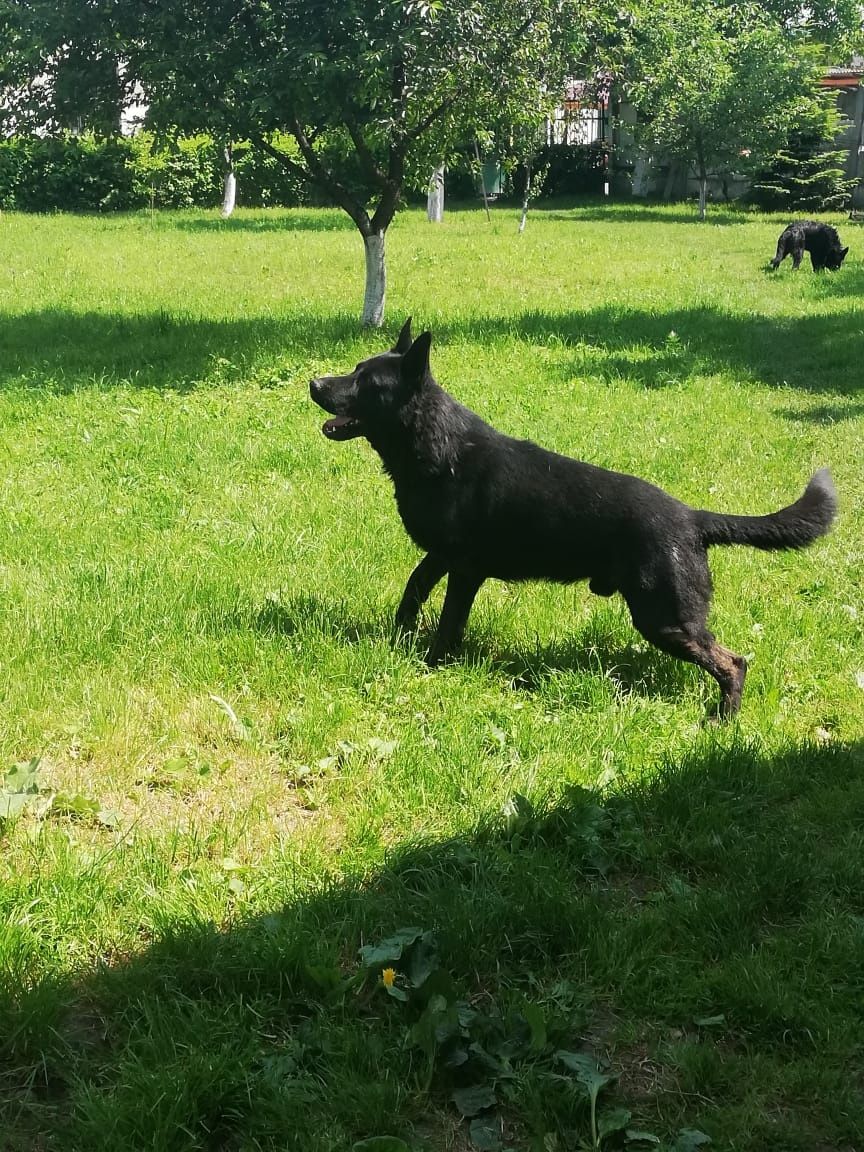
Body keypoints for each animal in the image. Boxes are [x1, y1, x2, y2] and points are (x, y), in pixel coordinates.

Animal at [308, 320, 834, 714]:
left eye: (366, 383)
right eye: (354, 369)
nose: (314, 384)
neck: (436, 446)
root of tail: (691, 517)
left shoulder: (465, 570)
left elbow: (449, 622)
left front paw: (433, 665)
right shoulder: (439, 558)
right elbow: (412, 593)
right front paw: (399, 638)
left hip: (665, 619)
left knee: (733, 663)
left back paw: (721, 720)